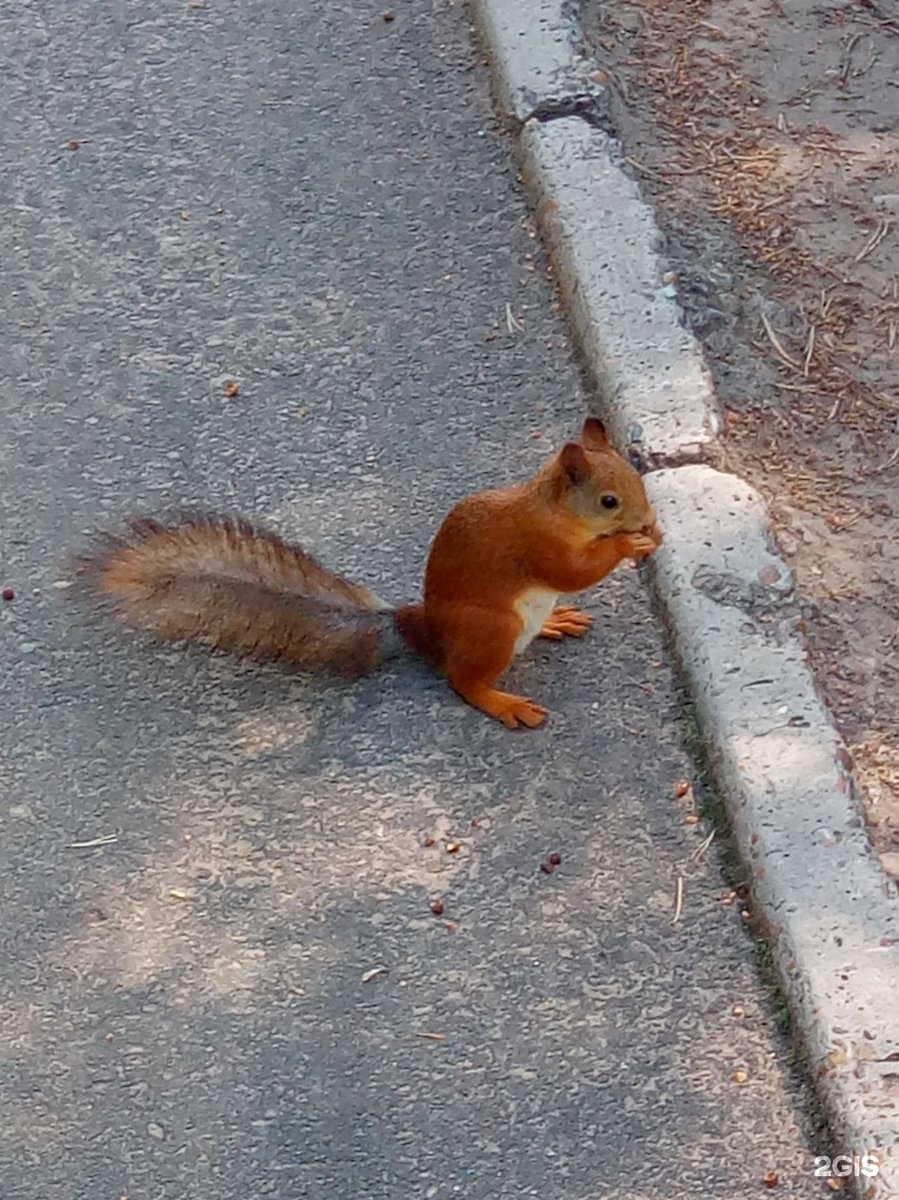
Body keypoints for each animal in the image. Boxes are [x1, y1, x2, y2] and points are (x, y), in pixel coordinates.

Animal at [84, 417, 657, 724]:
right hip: (492, 628)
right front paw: (630, 544)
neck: (553, 509)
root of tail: (421, 630)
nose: (648, 518)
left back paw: (555, 622)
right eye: (608, 501)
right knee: (462, 681)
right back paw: (502, 702)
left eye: (636, 476)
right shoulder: (534, 543)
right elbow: (569, 572)